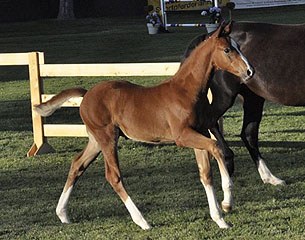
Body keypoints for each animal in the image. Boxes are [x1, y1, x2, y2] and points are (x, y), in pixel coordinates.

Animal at [33, 23, 252, 230]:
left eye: (238, 47)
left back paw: (63, 214)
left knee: (77, 165)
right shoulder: (183, 136)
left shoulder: (199, 133)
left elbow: (205, 173)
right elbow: (217, 148)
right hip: (107, 137)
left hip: (96, 140)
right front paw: (227, 202)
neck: (186, 91)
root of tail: (86, 94)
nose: (250, 71)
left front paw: (220, 219)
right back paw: (142, 221)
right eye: (227, 50)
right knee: (113, 176)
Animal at [183, 21, 304, 186]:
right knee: (212, 121)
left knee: (248, 134)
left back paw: (270, 178)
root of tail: (208, 36)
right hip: (226, 96)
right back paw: (227, 160)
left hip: (253, 98)